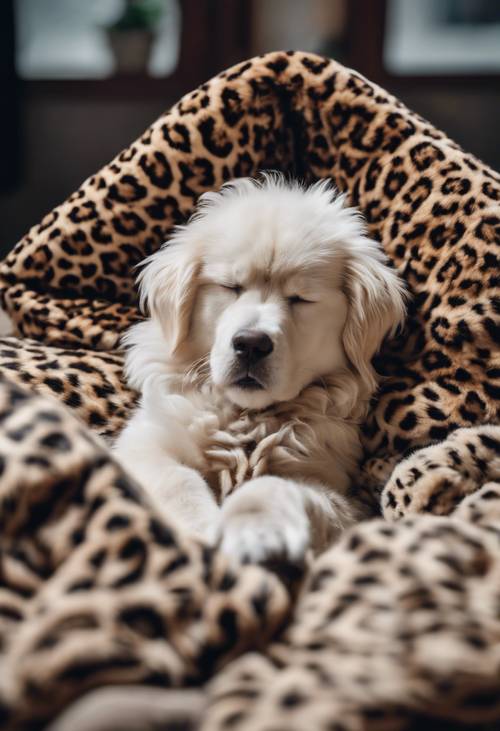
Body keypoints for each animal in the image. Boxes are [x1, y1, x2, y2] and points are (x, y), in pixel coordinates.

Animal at [114, 176, 406, 568]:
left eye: (301, 298)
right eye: (230, 287)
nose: (251, 344)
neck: (246, 417)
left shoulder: (340, 495)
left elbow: (271, 486)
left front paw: (254, 531)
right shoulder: (142, 443)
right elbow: (176, 478)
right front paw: (200, 528)